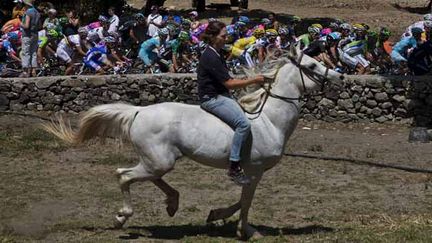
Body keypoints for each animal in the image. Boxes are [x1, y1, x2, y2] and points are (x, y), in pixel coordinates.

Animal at [44, 45, 344, 239]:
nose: (339, 76)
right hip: (159, 161)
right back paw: (121, 217)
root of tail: (138, 111)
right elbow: (246, 201)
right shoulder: (254, 170)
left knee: (147, 177)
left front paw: (216, 216)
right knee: (123, 175)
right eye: (311, 65)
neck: (269, 120)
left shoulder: (251, 172)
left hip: (161, 160)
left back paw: (172, 204)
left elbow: (241, 200)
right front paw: (247, 231)